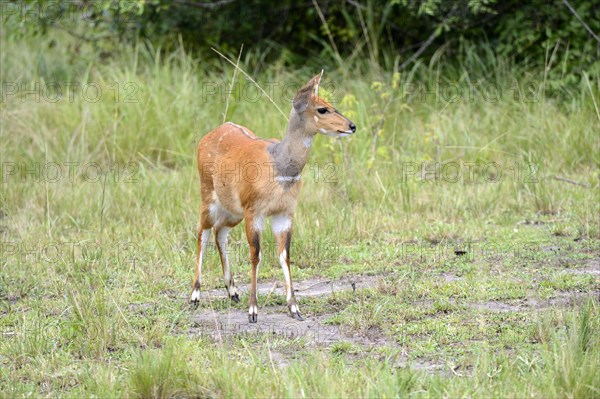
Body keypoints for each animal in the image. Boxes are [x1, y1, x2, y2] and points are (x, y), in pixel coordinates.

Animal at [190, 72, 354, 324]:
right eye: (322, 109)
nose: (351, 126)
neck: (281, 169)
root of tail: (206, 137)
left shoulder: (283, 213)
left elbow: (284, 255)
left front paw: (295, 308)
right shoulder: (254, 211)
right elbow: (255, 254)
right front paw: (253, 311)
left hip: (233, 211)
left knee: (220, 232)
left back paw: (233, 291)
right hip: (208, 197)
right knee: (203, 232)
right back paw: (195, 296)